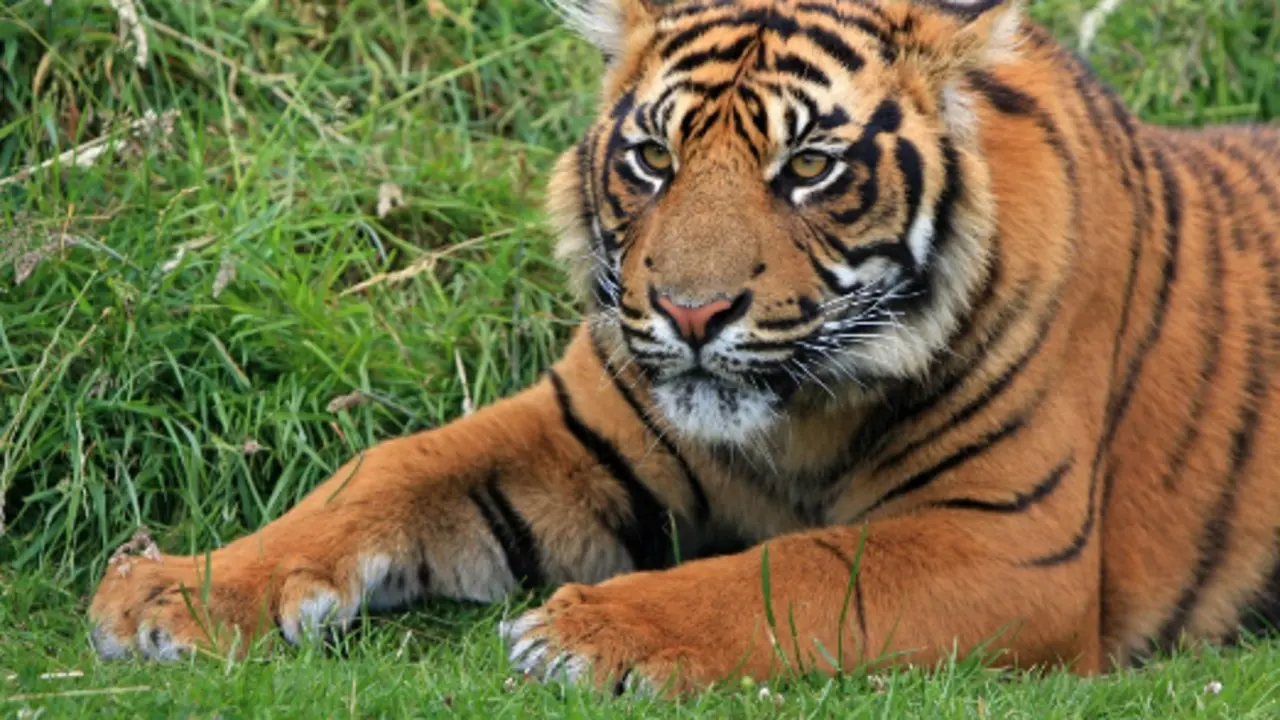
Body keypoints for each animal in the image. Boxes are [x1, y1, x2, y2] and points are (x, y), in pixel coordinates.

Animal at [88, 0, 1280, 697]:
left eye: (807, 167)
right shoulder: (577, 431)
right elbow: (383, 471)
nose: (692, 314)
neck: (800, 418)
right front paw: (170, 593)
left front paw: (589, 634)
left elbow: (798, 571)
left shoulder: (1008, 540)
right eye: (654, 158)